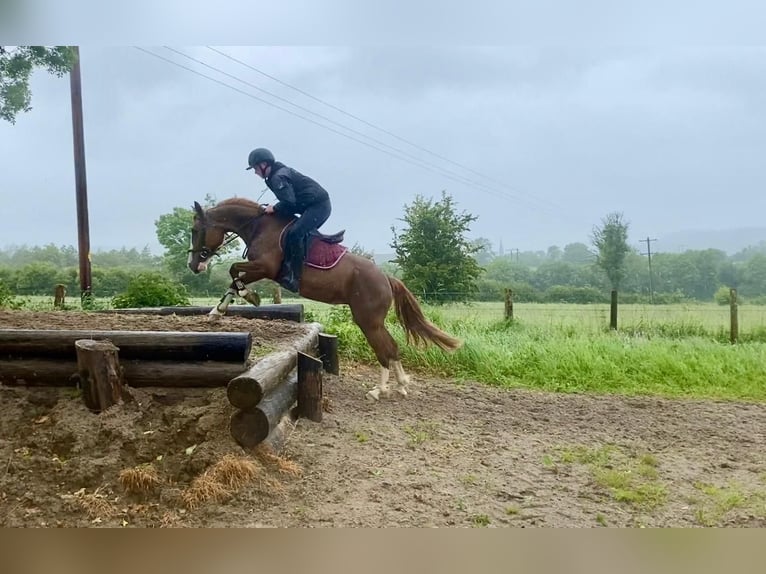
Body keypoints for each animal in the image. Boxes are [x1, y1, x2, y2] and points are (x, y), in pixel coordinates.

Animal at [188, 196, 462, 402]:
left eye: (195, 230)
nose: (193, 265)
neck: (259, 227)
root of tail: (386, 277)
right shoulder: (260, 269)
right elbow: (233, 278)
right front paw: (216, 312)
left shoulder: (265, 267)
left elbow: (234, 271)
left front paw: (250, 296)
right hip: (372, 321)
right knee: (392, 348)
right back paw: (401, 385)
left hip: (368, 320)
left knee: (386, 348)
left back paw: (380, 390)